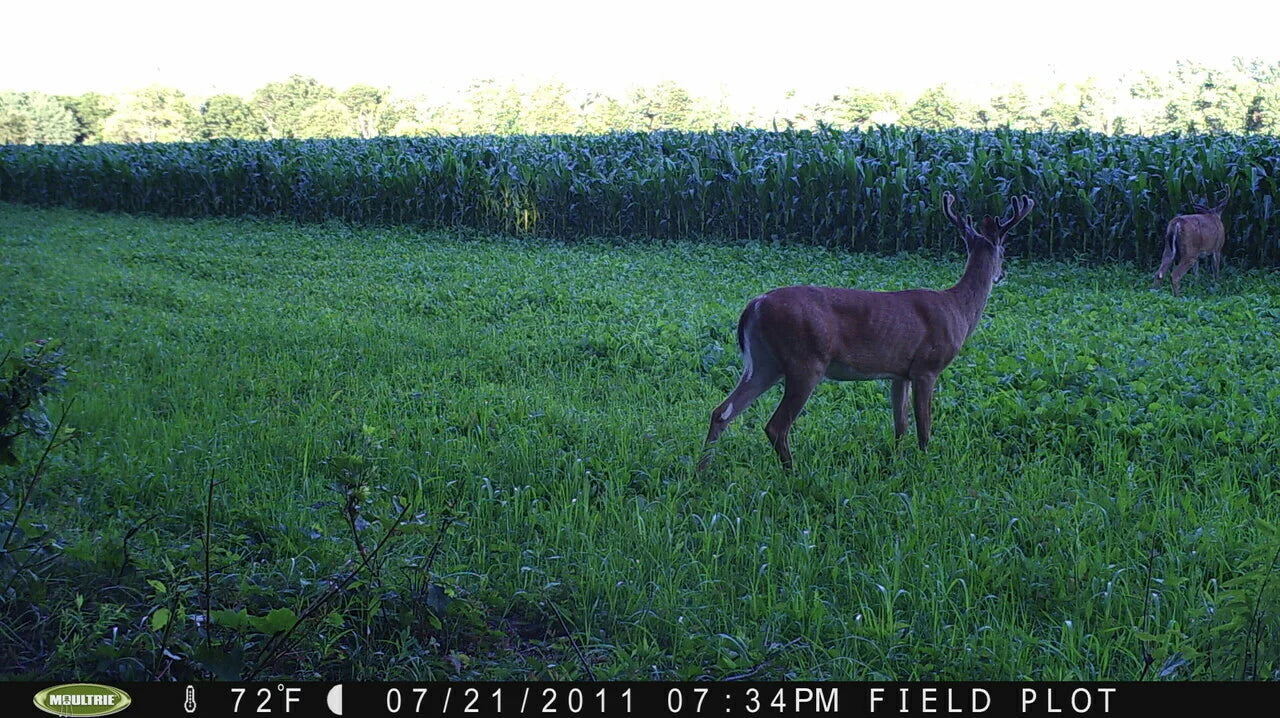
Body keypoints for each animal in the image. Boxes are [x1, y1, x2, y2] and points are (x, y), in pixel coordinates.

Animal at [696, 190, 1034, 470]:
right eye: (1004, 249)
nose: (1002, 274)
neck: (958, 308)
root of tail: (754, 305)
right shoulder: (927, 366)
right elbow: (924, 425)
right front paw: (925, 463)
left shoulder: (900, 373)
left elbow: (900, 424)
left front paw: (897, 461)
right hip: (805, 360)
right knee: (776, 426)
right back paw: (793, 472)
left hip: (764, 362)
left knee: (721, 411)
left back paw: (703, 470)